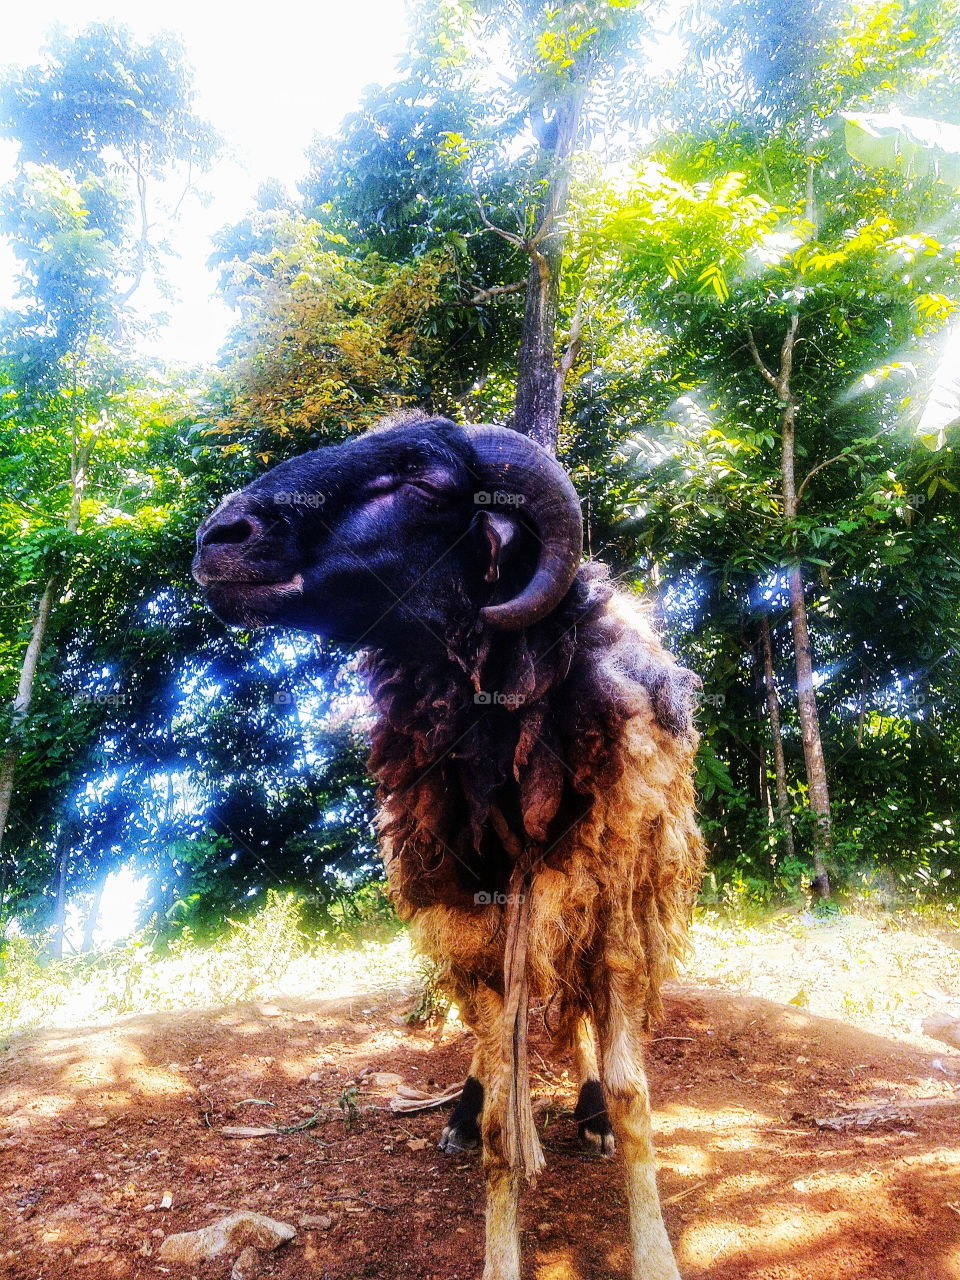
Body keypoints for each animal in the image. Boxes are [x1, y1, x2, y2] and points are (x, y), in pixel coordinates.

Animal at [193, 416, 704, 1280]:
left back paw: (589, 1114)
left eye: (424, 484)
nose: (217, 537)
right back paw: (463, 1112)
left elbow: (635, 1095)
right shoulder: (478, 913)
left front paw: (653, 1247)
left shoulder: (614, 916)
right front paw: (497, 1229)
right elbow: (502, 1118)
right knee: (490, 1047)